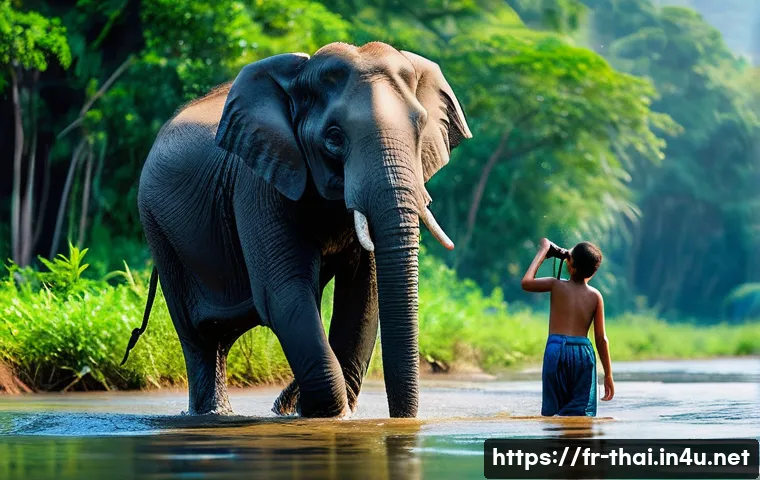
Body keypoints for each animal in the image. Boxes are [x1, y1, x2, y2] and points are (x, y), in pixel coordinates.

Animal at [124, 41, 472, 418]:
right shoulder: (258, 182)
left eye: (420, 126)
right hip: (157, 226)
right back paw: (215, 414)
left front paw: (310, 411)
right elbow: (285, 295)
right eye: (334, 137)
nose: (402, 421)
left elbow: (362, 296)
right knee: (198, 336)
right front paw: (328, 416)